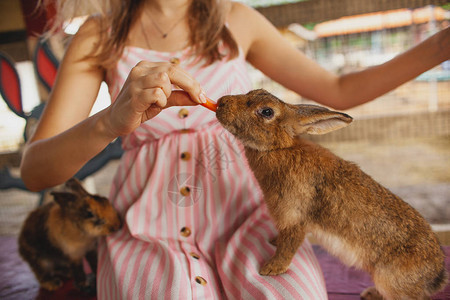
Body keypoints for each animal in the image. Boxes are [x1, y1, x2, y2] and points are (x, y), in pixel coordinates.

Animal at [216, 89, 448, 300]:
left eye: (266, 111)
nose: (221, 102)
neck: (278, 149)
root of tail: (436, 274)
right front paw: (274, 241)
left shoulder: (294, 218)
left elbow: (288, 246)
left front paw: (271, 269)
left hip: (390, 281)